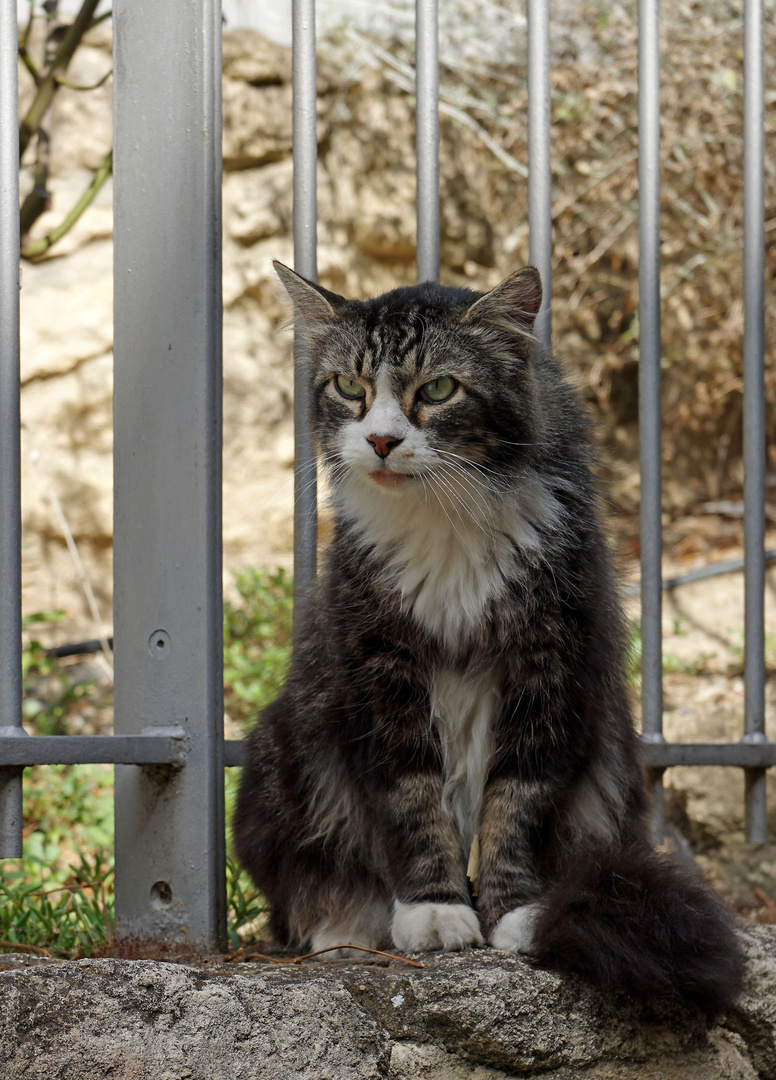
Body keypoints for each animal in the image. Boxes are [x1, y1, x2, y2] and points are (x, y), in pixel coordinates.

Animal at [232, 259, 746, 1010]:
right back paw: (349, 929)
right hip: (287, 750)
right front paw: (436, 912)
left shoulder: (550, 664)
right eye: (349, 387)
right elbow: (414, 799)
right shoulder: (380, 669)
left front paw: (516, 916)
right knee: (316, 883)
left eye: (439, 390)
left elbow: (515, 804)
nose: (381, 441)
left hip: (611, 754)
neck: (443, 516)